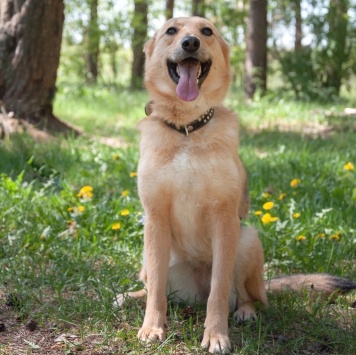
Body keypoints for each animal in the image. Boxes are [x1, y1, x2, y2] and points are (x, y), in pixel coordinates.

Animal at [117, 17, 356, 355]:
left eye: (206, 31)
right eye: (171, 31)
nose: (190, 43)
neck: (187, 130)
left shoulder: (225, 218)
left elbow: (218, 291)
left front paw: (217, 335)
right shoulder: (155, 218)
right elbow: (157, 293)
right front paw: (152, 327)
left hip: (247, 240)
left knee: (251, 297)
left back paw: (245, 311)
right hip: (149, 255)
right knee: (154, 285)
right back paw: (130, 296)